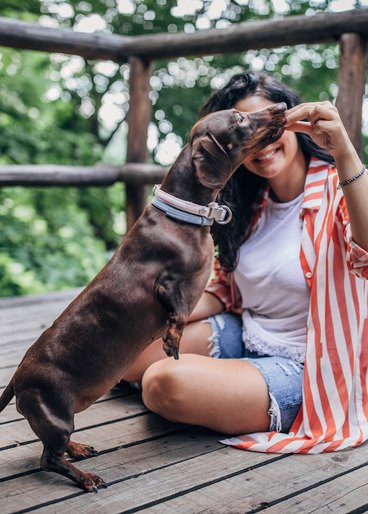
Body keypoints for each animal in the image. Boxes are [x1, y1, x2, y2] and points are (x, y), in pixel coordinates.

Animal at [0, 102, 286, 490]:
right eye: (239, 118)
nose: (283, 107)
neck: (182, 217)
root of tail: (17, 379)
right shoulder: (165, 284)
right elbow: (177, 313)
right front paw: (171, 343)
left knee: (53, 451)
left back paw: (78, 449)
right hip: (56, 416)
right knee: (48, 458)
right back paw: (85, 477)